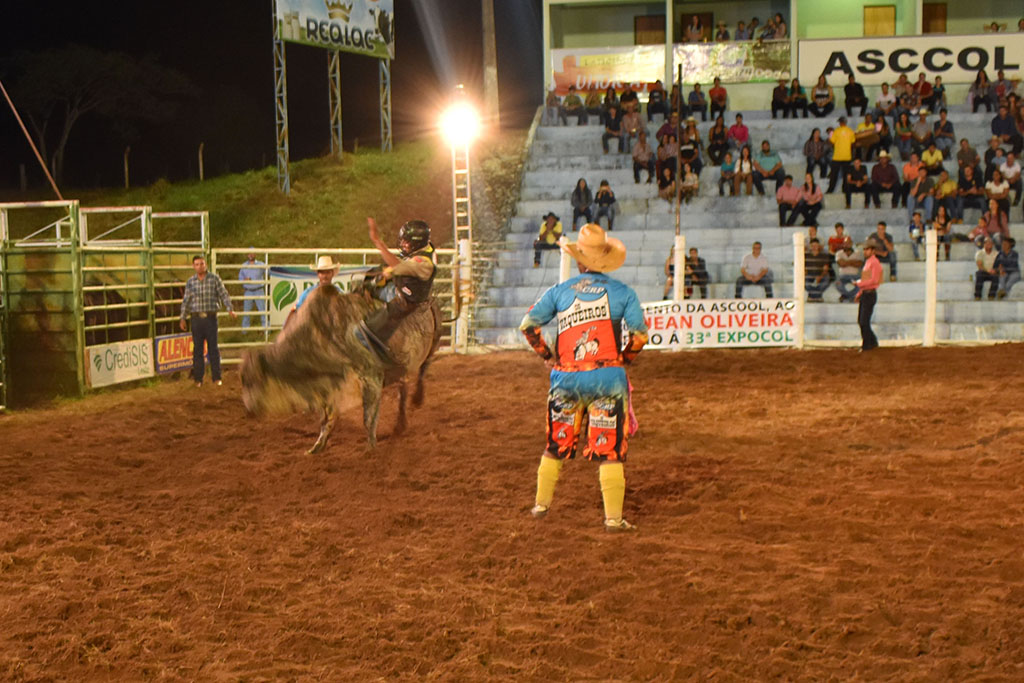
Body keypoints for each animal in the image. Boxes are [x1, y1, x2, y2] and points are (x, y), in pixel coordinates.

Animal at [240, 281, 441, 454]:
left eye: (252, 380)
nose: (249, 410)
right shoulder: (330, 387)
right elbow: (327, 419)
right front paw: (317, 447)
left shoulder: (371, 377)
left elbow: (368, 419)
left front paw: (371, 448)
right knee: (403, 386)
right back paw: (400, 424)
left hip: (434, 339)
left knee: (423, 368)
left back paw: (418, 397)